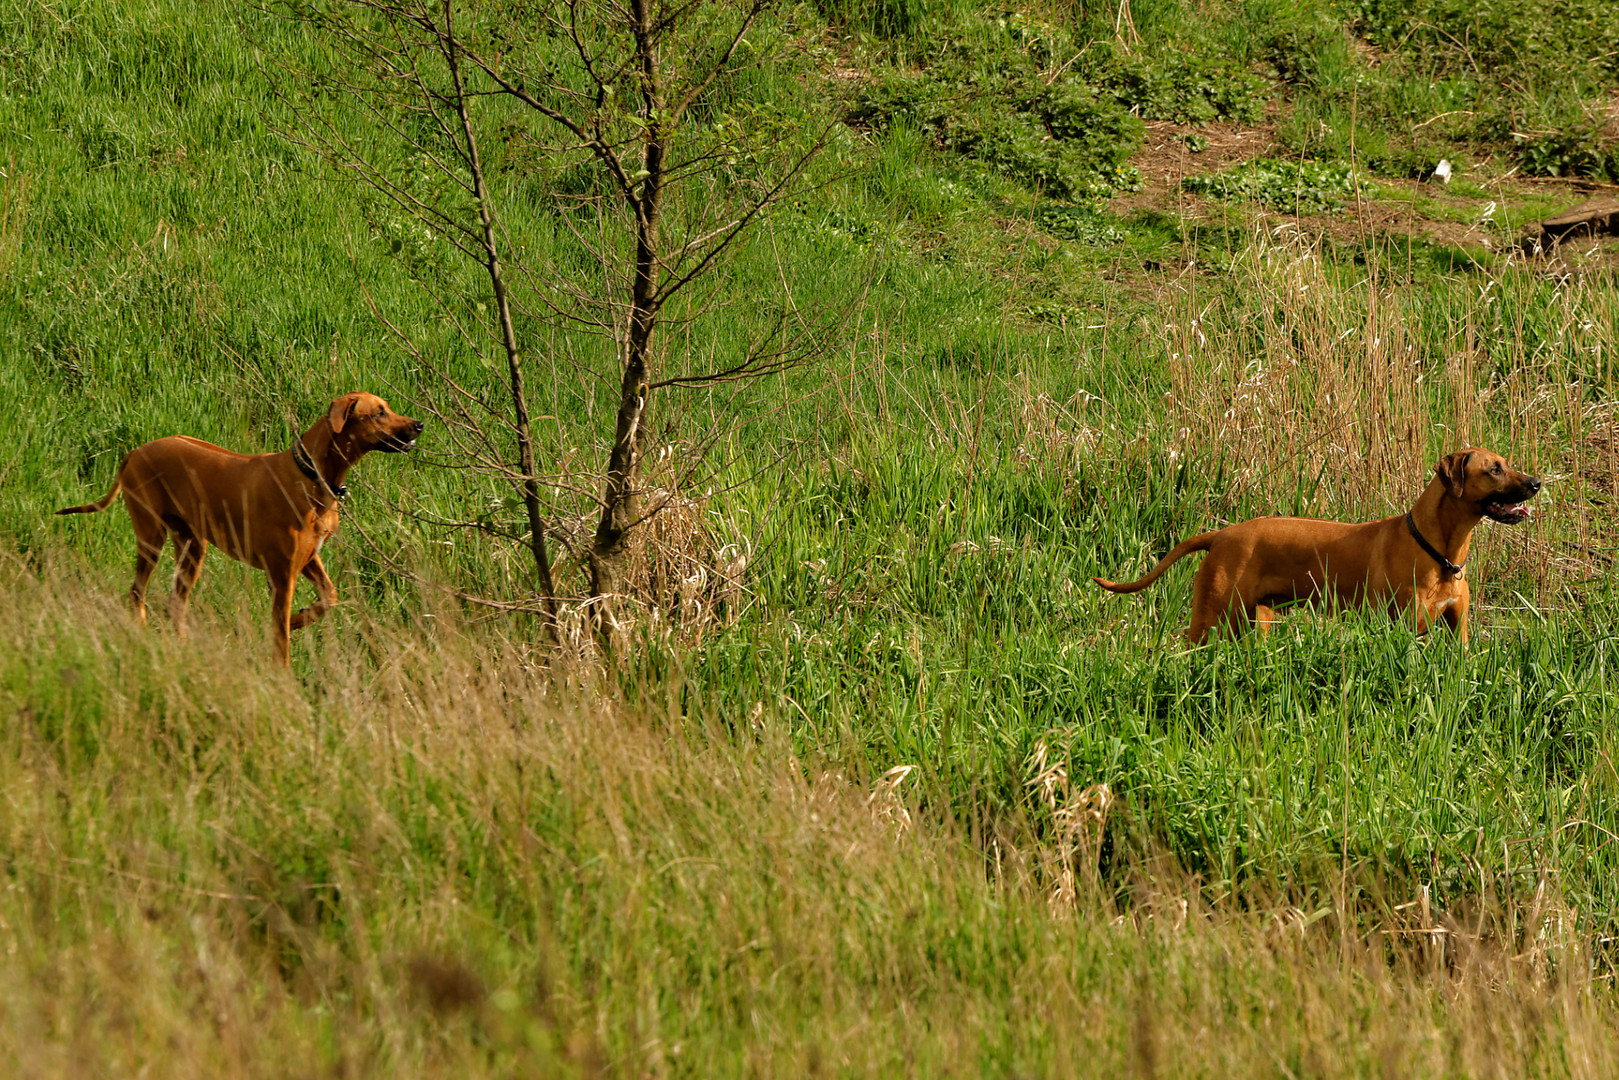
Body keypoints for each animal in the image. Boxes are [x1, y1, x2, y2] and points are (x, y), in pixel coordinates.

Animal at [57, 393, 424, 663]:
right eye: (378, 412)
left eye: (387, 408)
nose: (419, 424)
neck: (311, 476)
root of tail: (134, 451)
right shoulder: (282, 576)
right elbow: (280, 638)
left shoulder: (308, 560)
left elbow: (328, 597)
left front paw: (300, 618)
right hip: (151, 536)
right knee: (137, 593)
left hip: (193, 547)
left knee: (175, 604)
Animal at [1094, 446, 1534, 641]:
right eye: (1494, 470)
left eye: (1507, 463)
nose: (1537, 482)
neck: (1442, 552)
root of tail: (1220, 534)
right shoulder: (1403, 626)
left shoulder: (1457, 629)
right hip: (1213, 617)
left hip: (1257, 619)